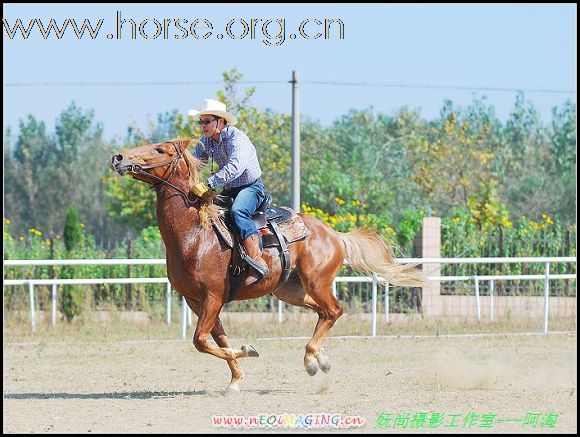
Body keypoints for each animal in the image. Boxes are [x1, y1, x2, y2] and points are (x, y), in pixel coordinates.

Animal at [110, 138, 426, 390]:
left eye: (159, 149)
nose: (119, 157)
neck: (195, 234)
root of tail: (335, 234)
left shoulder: (212, 297)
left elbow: (201, 341)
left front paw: (248, 350)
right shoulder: (195, 300)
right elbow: (218, 340)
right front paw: (236, 379)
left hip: (317, 281)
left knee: (334, 310)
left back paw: (312, 360)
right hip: (289, 290)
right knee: (323, 312)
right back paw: (320, 360)